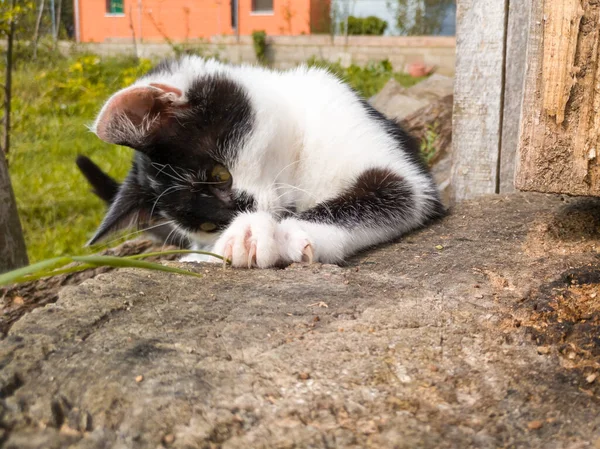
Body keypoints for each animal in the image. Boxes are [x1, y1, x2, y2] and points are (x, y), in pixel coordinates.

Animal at [82, 55, 442, 266]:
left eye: (219, 175)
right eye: (208, 226)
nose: (241, 215)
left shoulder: (404, 174)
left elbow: (391, 194)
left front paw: (276, 233)